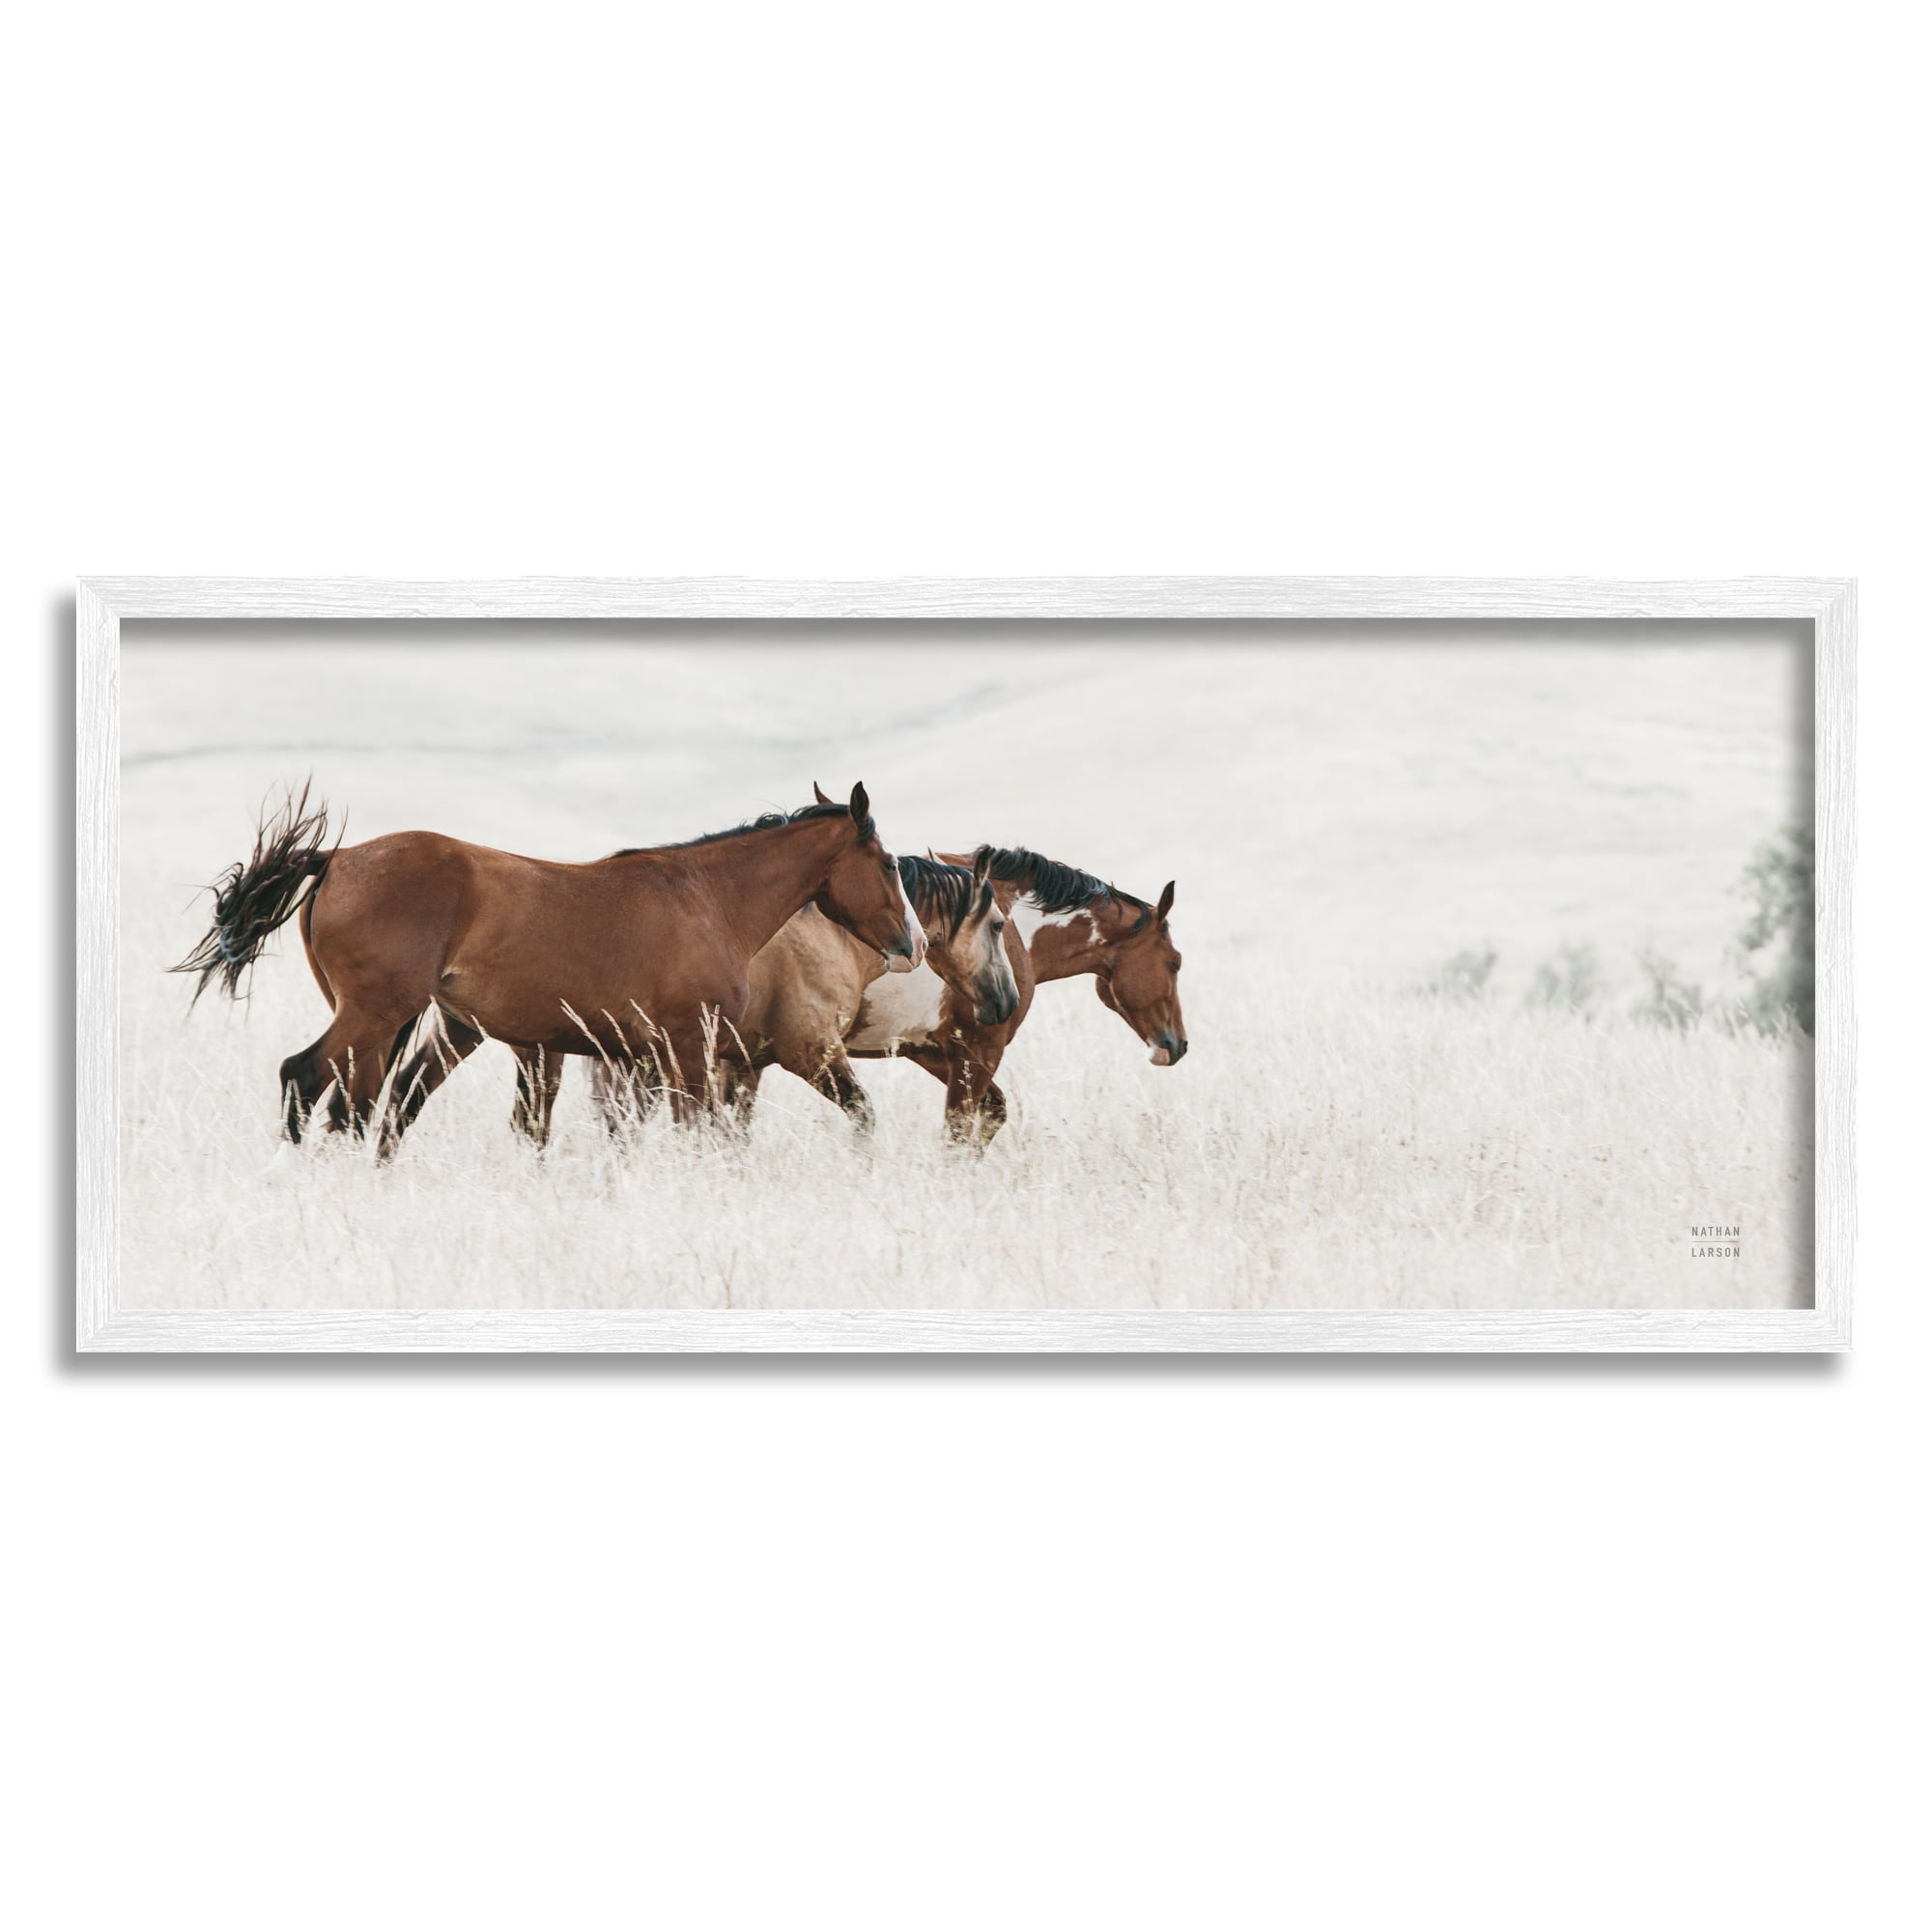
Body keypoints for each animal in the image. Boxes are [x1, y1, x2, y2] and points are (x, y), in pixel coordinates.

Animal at [173, 782, 926, 1155]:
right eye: (889, 863)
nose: (913, 943)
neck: (707, 897)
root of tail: (336, 858)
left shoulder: (635, 1054)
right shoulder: (687, 1045)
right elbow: (698, 1132)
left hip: (407, 1024)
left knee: (358, 1107)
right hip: (377, 1014)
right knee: (306, 1081)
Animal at [579, 849, 1019, 1140]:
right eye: (998, 924)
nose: (1008, 1001)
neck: (835, 935)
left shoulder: (745, 1062)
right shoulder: (811, 1052)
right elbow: (863, 1115)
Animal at [847, 845, 1187, 1144]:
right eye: (1175, 962)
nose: (1179, 1045)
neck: (1010, 926)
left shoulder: (928, 1050)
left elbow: (992, 1113)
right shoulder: (980, 1049)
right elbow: (959, 1131)